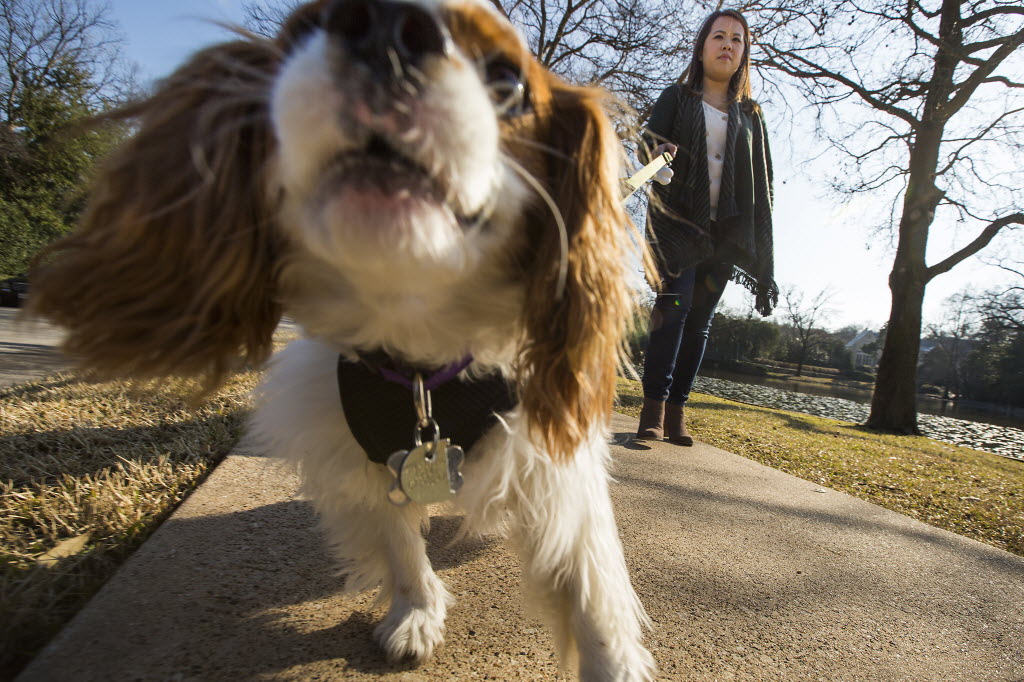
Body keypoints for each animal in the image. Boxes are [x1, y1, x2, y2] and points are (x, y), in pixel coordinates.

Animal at [32, 0, 659, 675]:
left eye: (508, 79)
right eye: (303, 32)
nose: (386, 31)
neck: (418, 354)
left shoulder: (553, 465)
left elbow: (593, 601)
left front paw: (613, 666)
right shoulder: (367, 458)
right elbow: (400, 547)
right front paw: (416, 613)